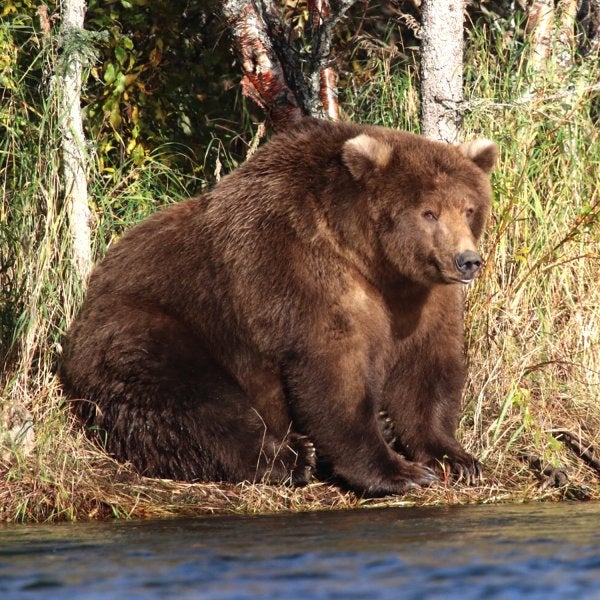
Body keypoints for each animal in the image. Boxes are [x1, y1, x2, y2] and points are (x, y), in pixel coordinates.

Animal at [59, 118, 496, 496]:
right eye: (429, 212)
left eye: (469, 208)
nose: (467, 261)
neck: (371, 260)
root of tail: (84, 305)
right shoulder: (299, 270)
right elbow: (333, 371)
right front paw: (398, 471)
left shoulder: (421, 298)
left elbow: (427, 367)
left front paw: (456, 459)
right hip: (150, 328)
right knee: (194, 402)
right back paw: (292, 456)